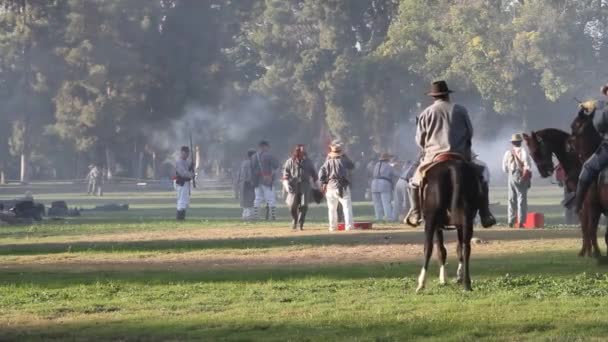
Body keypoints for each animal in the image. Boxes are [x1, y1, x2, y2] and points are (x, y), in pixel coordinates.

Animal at [416, 159, 482, 292]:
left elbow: (440, 250)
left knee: (428, 247)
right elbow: (457, 249)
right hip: (467, 220)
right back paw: (466, 284)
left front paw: (443, 279)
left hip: (430, 220)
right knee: (466, 248)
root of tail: (453, 168)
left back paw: (421, 283)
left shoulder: (437, 225)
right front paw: (457, 277)